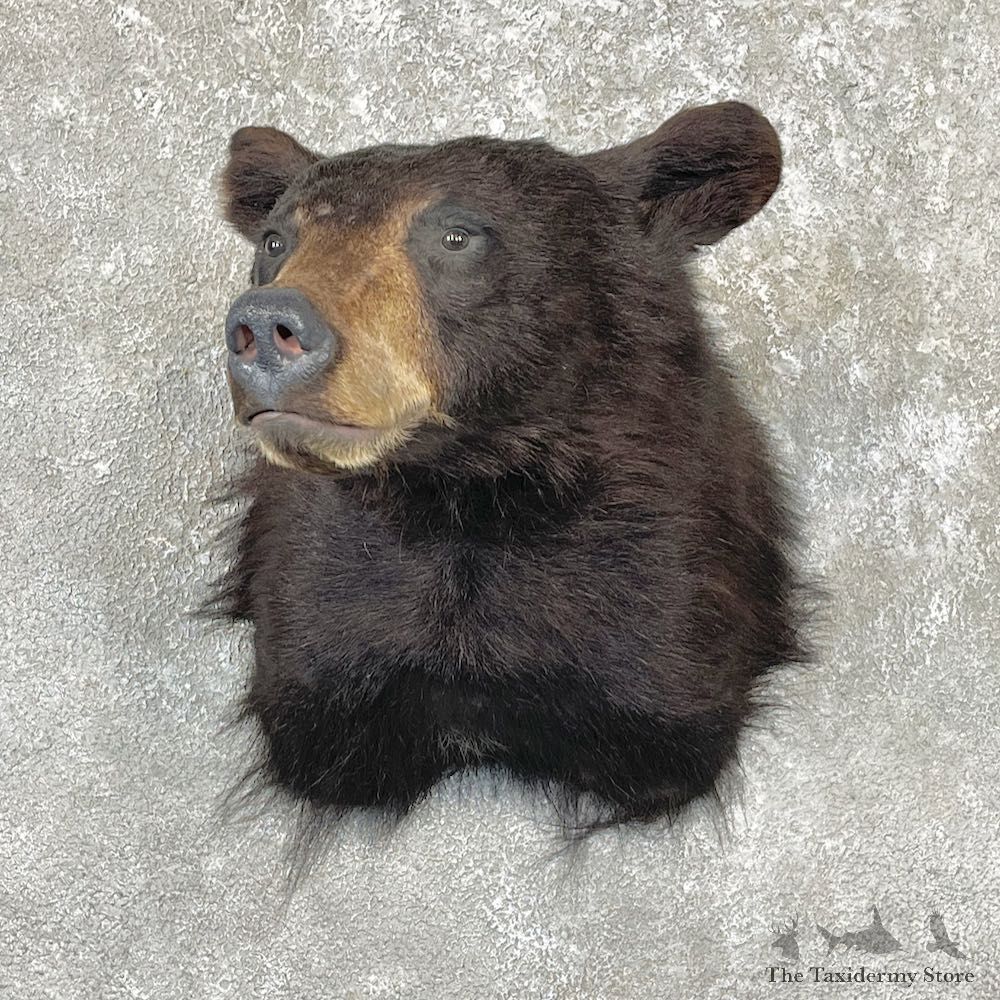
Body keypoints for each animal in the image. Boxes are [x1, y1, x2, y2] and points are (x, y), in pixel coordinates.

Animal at [208, 101, 807, 840]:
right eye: (275, 240)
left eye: (456, 235)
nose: (268, 326)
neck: (470, 489)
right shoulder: (318, 584)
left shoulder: (670, 556)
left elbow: (659, 707)